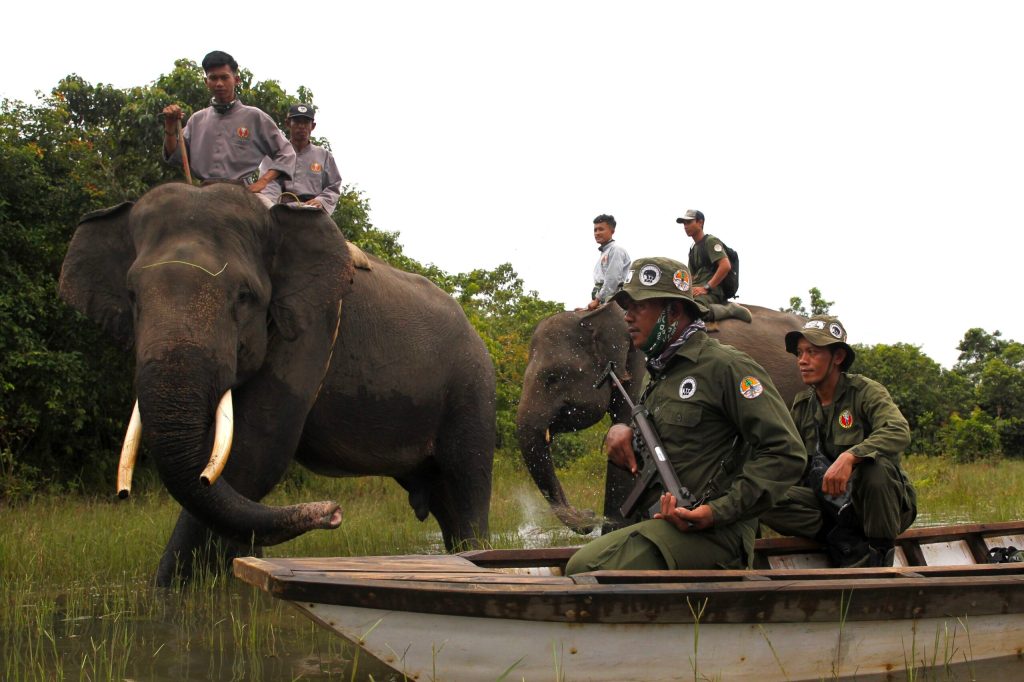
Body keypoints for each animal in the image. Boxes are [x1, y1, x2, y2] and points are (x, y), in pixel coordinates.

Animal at [59, 182, 495, 585]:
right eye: (132, 296)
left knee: (465, 486)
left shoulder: (310, 325)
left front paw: (170, 598)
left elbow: (255, 452)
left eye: (244, 296)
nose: (334, 512)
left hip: (471, 386)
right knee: (443, 499)